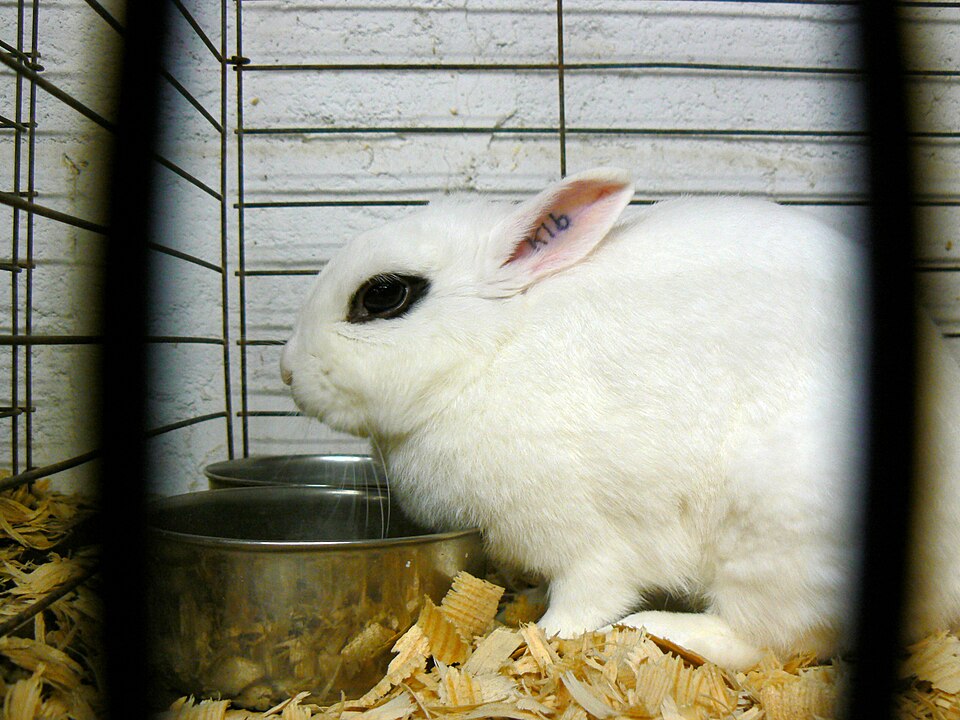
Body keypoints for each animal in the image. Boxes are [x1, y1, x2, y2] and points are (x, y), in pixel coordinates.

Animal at [280, 168, 960, 669]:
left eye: (384, 295)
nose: (286, 373)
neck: (492, 351)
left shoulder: (589, 538)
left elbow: (587, 594)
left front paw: (550, 637)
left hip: (783, 537)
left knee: (769, 639)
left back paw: (661, 631)